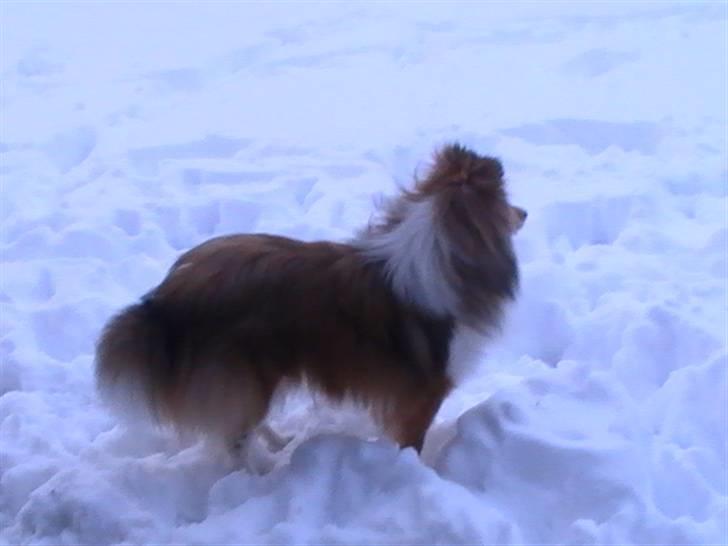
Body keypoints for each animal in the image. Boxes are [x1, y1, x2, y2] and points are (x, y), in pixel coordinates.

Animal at [96, 142, 528, 456]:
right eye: (507, 203)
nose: (524, 213)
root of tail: (163, 302)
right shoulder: (423, 396)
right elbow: (412, 444)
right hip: (245, 371)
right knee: (235, 438)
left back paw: (278, 442)